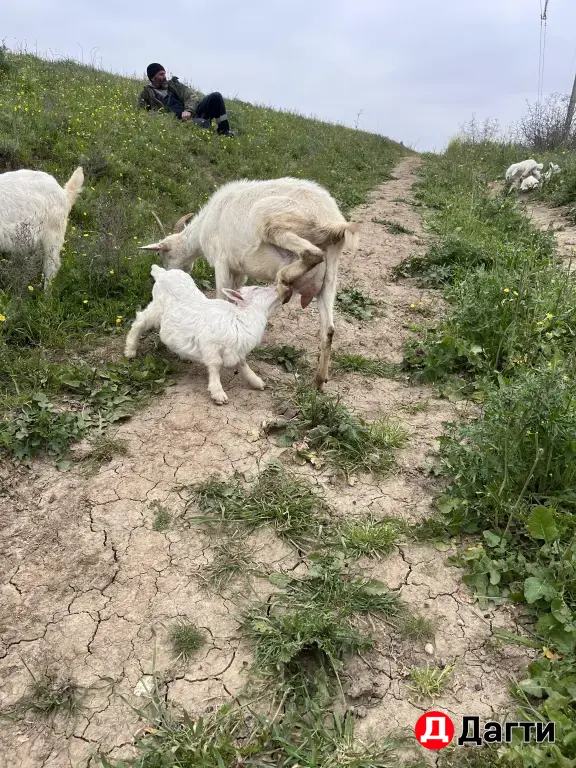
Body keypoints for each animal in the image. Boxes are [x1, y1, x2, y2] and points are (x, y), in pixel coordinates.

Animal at [124, 264, 291, 404]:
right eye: (256, 289)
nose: (280, 286)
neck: (240, 318)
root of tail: (162, 273)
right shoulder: (210, 345)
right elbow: (215, 365)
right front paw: (218, 393)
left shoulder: (236, 349)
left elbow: (243, 364)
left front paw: (256, 381)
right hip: (156, 309)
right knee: (140, 321)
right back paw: (130, 350)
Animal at [138, 177, 359, 390]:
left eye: (161, 254)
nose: (170, 271)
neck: (206, 225)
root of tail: (333, 220)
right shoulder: (239, 271)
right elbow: (235, 297)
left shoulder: (222, 261)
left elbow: (222, 297)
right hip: (329, 275)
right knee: (328, 328)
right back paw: (319, 381)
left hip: (273, 223)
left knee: (312, 253)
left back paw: (284, 281)